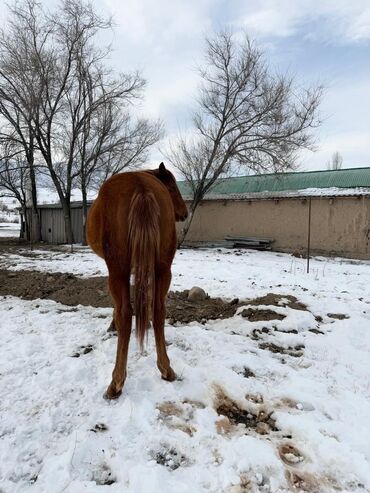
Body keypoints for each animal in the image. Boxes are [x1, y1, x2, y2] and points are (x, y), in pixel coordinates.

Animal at [86, 163, 188, 398]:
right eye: (172, 186)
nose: (184, 213)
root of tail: (140, 186)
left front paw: (112, 325)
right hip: (163, 268)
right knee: (159, 309)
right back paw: (166, 369)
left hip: (118, 270)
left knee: (125, 312)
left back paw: (116, 382)